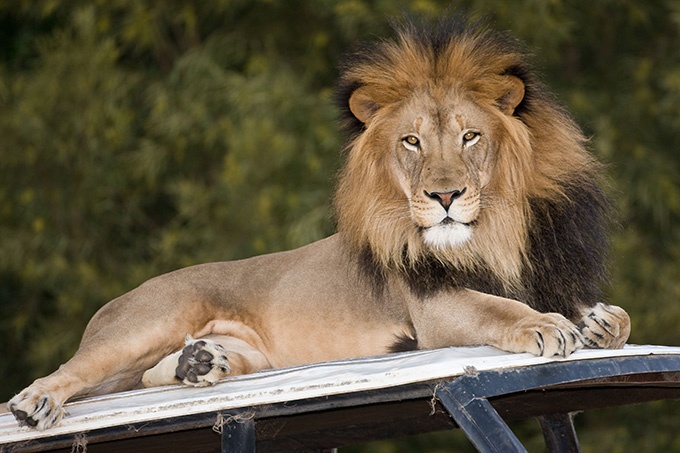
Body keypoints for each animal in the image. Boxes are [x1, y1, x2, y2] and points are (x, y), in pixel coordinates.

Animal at [9, 16, 632, 428]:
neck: (498, 231)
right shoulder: (433, 309)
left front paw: (600, 319)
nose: (444, 195)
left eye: (470, 136)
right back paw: (35, 402)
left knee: (142, 378)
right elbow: (497, 308)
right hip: (147, 321)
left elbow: (613, 316)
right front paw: (545, 324)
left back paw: (197, 362)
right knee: (74, 370)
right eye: (411, 141)